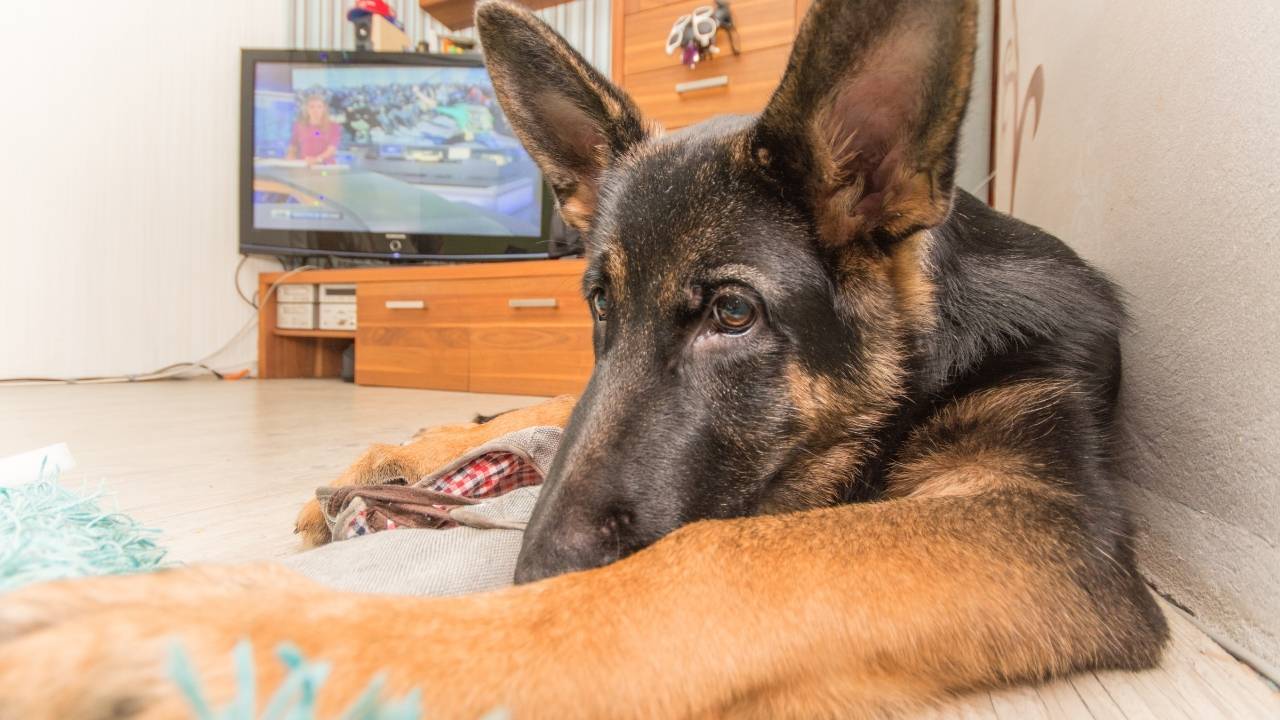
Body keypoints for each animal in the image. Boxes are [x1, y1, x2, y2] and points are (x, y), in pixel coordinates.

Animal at [0, 1, 1172, 712]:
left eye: (732, 315)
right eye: (597, 302)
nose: (536, 563)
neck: (923, 365)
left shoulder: (1041, 520)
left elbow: (698, 566)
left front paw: (200, 634)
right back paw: (394, 454)